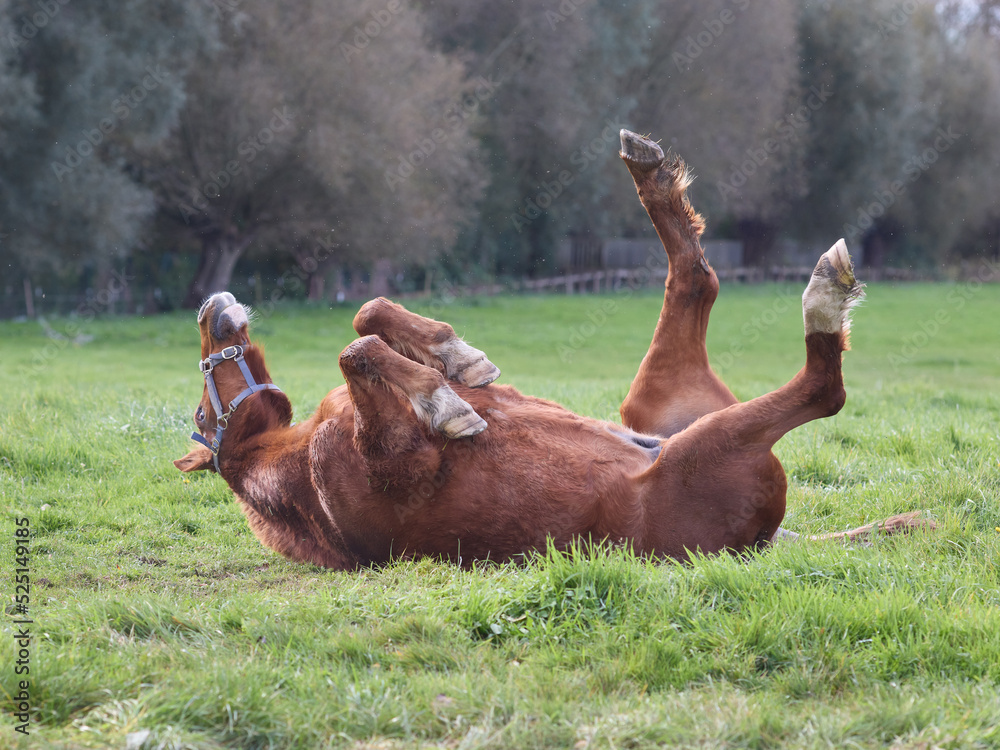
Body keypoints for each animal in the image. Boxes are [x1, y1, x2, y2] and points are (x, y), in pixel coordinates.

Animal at [173, 129, 928, 568]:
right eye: (203, 412)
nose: (209, 305)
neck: (289, 465)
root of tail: (769, 539)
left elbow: (368, 318)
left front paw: (456, 359)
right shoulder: (396, 460)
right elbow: (358, 352)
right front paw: (444, 403)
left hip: (661, 399)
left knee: (696, 277)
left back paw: (649, 170)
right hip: (704, 446)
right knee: (822, 389)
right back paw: (823, 297)